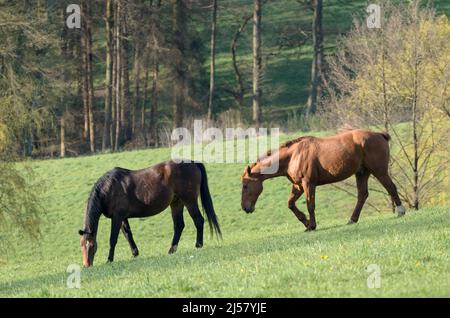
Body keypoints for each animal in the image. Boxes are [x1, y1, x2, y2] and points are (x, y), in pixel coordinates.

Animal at [79, 160, 223, 268]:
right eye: (81, 245)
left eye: (92, 245)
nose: (86, 265)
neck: (108, 189)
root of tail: (193, 162)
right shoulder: (123, 218)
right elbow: (128, 234)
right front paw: (135, 253)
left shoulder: (117, 217)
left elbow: (113, 239)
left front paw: (109, 259)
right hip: (176, 203)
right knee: (179, 226)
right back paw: (171, 250)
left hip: (189, 201)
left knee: (198, 220)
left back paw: (198, 245)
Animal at [241, 129, 406, 231]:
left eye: (245, 185)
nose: (245, 208)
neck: (294, 155)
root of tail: (379, 134)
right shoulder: (298, 186)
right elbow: (291, 204)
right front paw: (306, 222)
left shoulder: (308, 184)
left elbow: (310, 205)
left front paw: (312, 225)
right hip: (362, 173)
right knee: (362, 195)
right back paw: (352, 219)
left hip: (379, 171)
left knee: (391, 187)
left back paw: (400, 211)